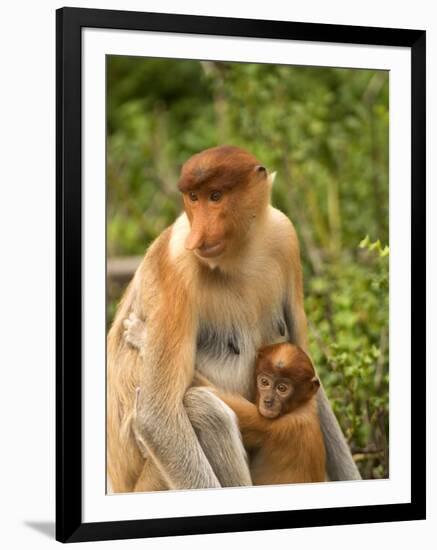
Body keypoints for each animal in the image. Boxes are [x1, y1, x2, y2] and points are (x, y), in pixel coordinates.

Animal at [107, 144, 360, 494]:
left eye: (215, 196)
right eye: (193, 198)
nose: (199, 236)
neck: (240, 254)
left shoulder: (285, 235)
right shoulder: (177, 262)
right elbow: (157, 418)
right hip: (152, 483)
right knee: (206, 410)